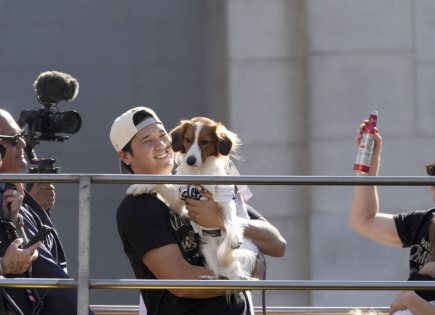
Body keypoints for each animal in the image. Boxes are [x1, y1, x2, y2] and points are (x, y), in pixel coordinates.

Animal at [129, 118, 258, 282]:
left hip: (243, 252)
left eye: (205, 141)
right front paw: (139, 186)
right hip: (207, 249)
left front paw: (234, 236)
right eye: (188, 140)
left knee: (232, 271)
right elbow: (160, 184)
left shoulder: (224, 196)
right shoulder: (177, 197)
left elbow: (229, 219)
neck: (199, 173)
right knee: (219, 272)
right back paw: (209, 277)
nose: (190, 160)